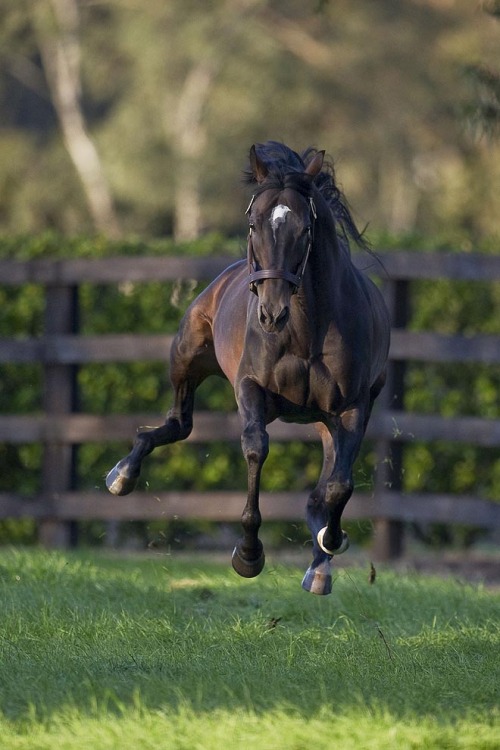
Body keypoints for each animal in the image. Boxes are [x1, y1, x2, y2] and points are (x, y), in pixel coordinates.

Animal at [106, 144, 390, 596]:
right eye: (254, 223)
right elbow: (256, 448)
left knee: (323, 486)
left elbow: (338, 485)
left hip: (325, 420)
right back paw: (122, 475)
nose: (270, 313)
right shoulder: (251, 388)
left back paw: (320, 562)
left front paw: (329, 545)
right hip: (186, 356)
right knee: (179, 423)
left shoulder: (351, 408)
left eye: (305, 228)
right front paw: (248, 555)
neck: (306, 330)